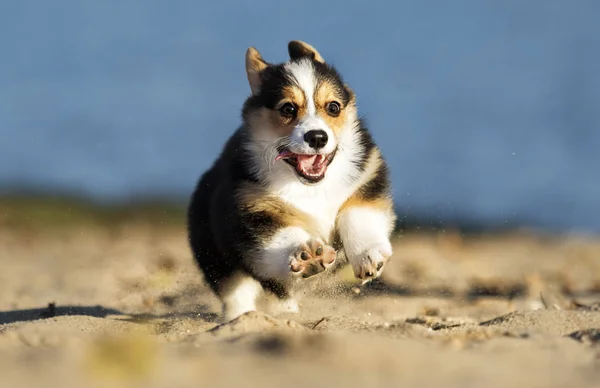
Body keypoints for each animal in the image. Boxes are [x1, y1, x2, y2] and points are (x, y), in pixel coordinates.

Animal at [185, 40, 396, 322]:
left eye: (333, 107)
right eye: (288, 109)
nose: (317, 137)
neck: (310, 187)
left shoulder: (366, 180)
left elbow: (357, 217)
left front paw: (368, 257)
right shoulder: (255, 212)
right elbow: (282, 238)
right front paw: (308, 256)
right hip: (216, 256)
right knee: (238, 292)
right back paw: (245, 317)